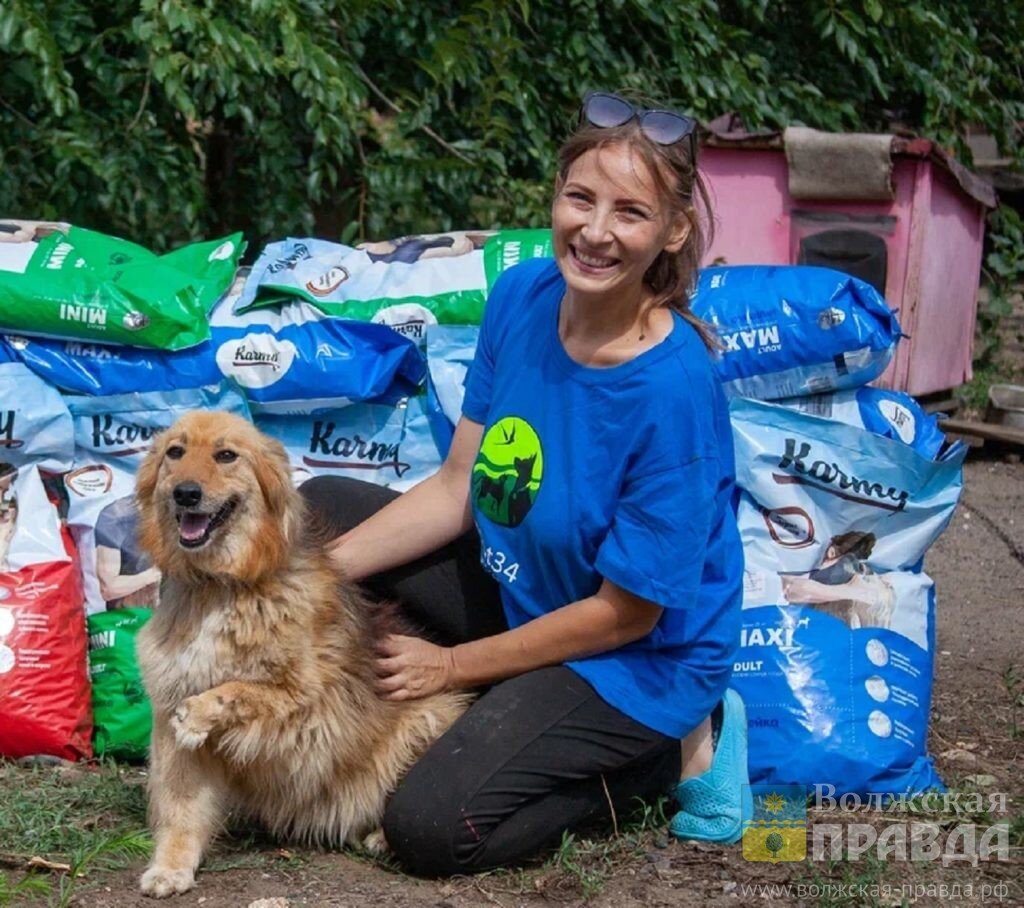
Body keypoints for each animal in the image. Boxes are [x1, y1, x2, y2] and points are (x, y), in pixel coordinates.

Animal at [135, 415, 468, 896]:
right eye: (174, 453)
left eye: (226, 455)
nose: (186, 493)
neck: (220, 587)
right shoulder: (173, 721)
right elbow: (182, 810)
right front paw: (171, 867)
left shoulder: (307, 704)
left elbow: (241, 689)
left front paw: (200, 711)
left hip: (429, 717)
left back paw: (381, 835)